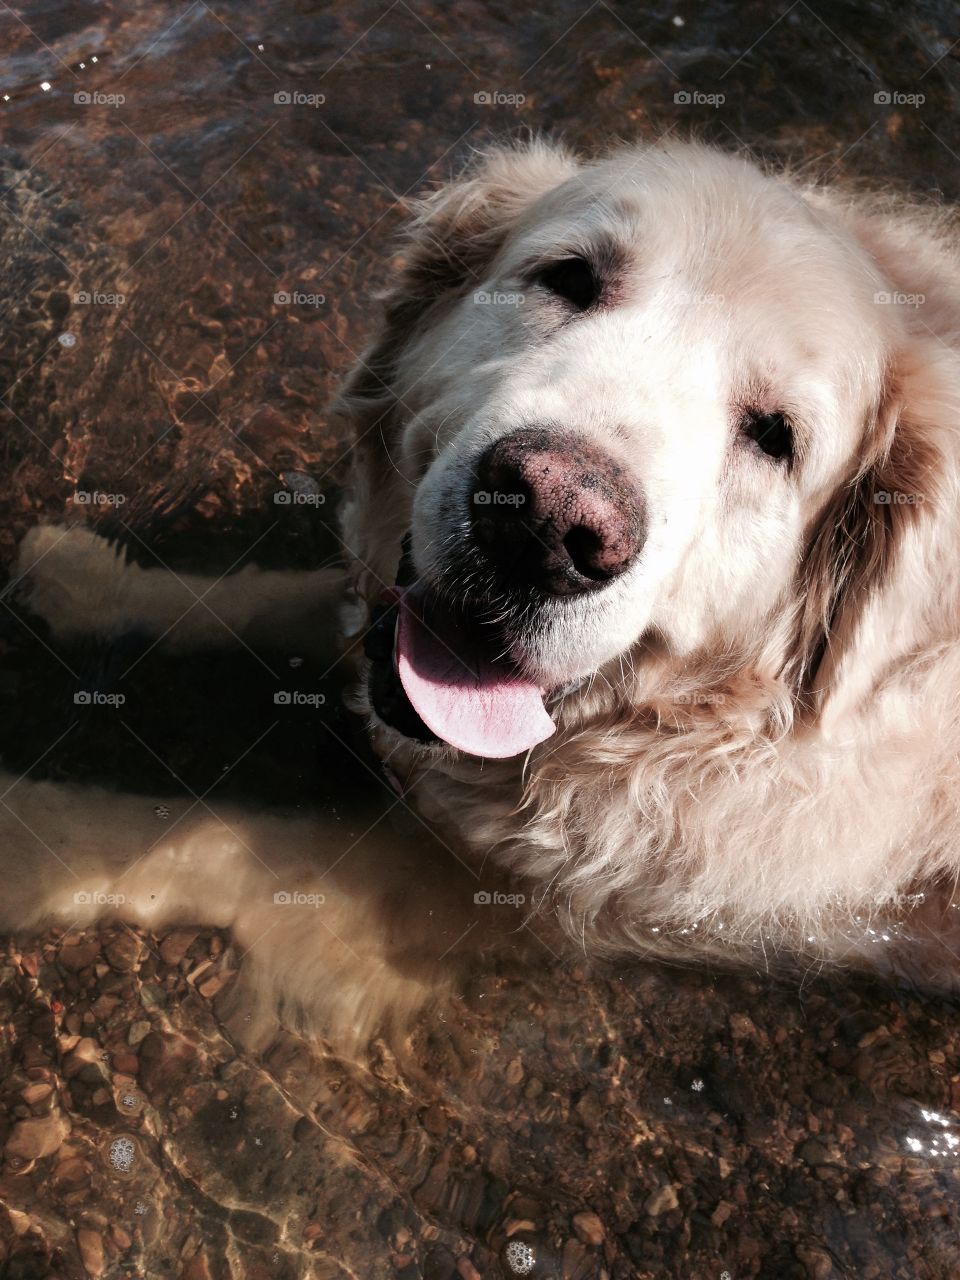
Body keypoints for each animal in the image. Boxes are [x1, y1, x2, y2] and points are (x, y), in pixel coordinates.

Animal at [7, 135, 960, 1039]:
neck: (691, 730)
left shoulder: (457, 895)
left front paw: (32, 837)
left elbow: (199, 845)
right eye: (570, 277)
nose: (546, 520)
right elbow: (271, 597)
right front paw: (89, 582)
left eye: (774, 436)